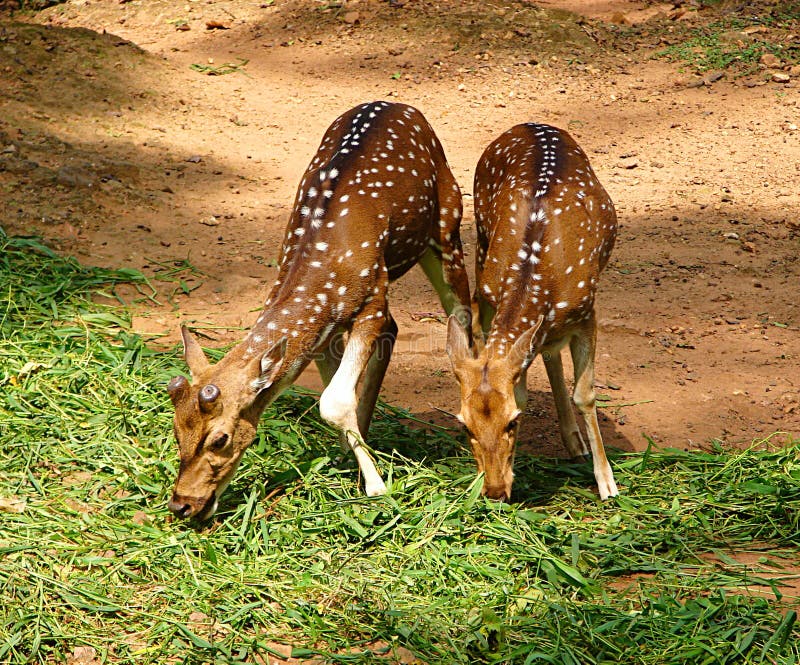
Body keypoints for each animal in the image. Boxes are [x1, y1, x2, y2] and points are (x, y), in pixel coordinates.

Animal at [166, 101, 472, 520]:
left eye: (219, 439)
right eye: (177, 429)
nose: (181, 504)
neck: (321, 276)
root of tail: (403, 107)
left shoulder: (371, 298)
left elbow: (333, 401)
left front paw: (377, 488)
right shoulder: (324, 330)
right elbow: (334, 391)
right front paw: (351, 455)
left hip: (448, 223)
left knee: (463, 313)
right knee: (397, 329)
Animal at [446, 122, 620, 500]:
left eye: (513, 421)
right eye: (464, 425)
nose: (494, 491)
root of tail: (528, 125)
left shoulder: (588, 312)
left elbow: (585, 394)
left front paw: (607, 482)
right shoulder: (495, 298)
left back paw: (578, 445)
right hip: (481, 246)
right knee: (546, 350)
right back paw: (572, 441)